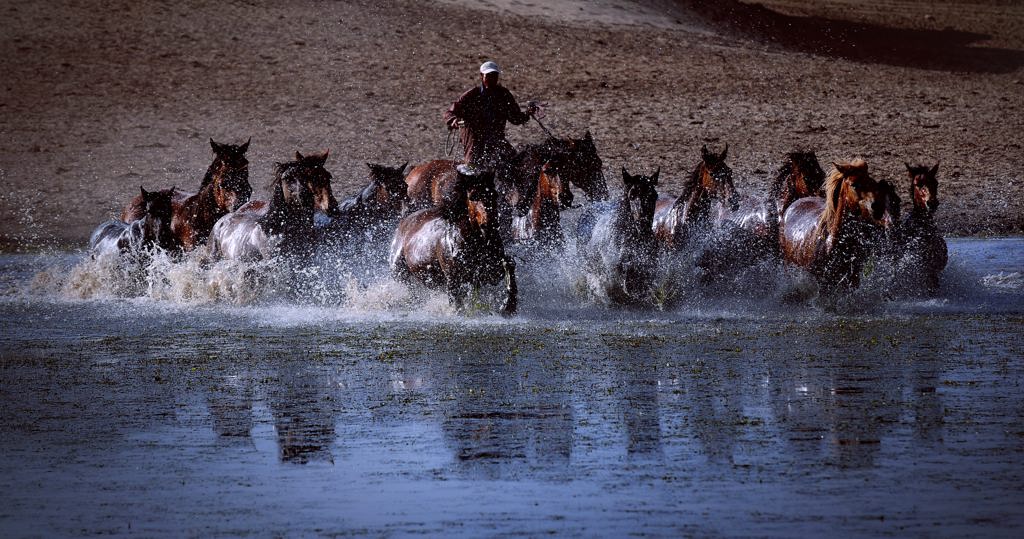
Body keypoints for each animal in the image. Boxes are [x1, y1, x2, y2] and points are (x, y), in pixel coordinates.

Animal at [391, 167, 520, 315]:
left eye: (495, 194)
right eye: (473, 197)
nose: (490, 224)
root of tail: (405, 221)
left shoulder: (488, 273)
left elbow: (508, 263)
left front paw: (508, 306)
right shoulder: (453, 277)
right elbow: (457, 303)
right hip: (399, 271)